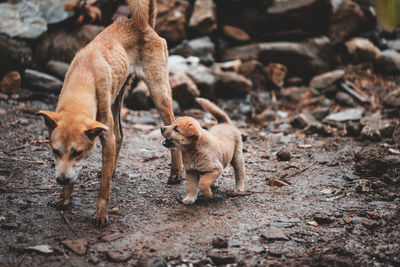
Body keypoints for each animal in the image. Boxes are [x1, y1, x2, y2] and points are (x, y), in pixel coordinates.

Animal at [36, 0, 183, 227]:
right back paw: (111, 168)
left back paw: (176, 173)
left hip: (159, 93)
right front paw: (64, 198)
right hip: (117, 99)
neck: (84, 77)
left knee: (172, 125)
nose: (60, 180)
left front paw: (100, 214)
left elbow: (104, 188)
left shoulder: (105, 136)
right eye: (55, 151)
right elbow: (78, 173)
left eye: (78, 152)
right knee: (120, 134)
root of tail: (144, 25)